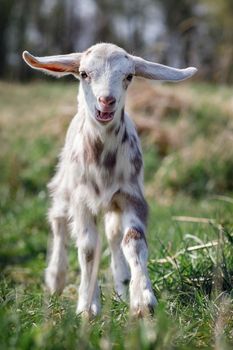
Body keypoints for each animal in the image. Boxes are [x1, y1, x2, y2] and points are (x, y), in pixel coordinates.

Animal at [22, 41, 197, 318]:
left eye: (129, 76)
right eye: (84, 73)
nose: (106, 101)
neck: (103, 159)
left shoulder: (131, 195)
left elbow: (133, 241)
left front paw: (142, 300)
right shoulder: (81, 200)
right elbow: (88, 249)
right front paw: (87, 306)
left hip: (113, 205)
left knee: (114, 235)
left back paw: (122, 287)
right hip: (64, 185)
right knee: (58, 222)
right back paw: (56, 279)